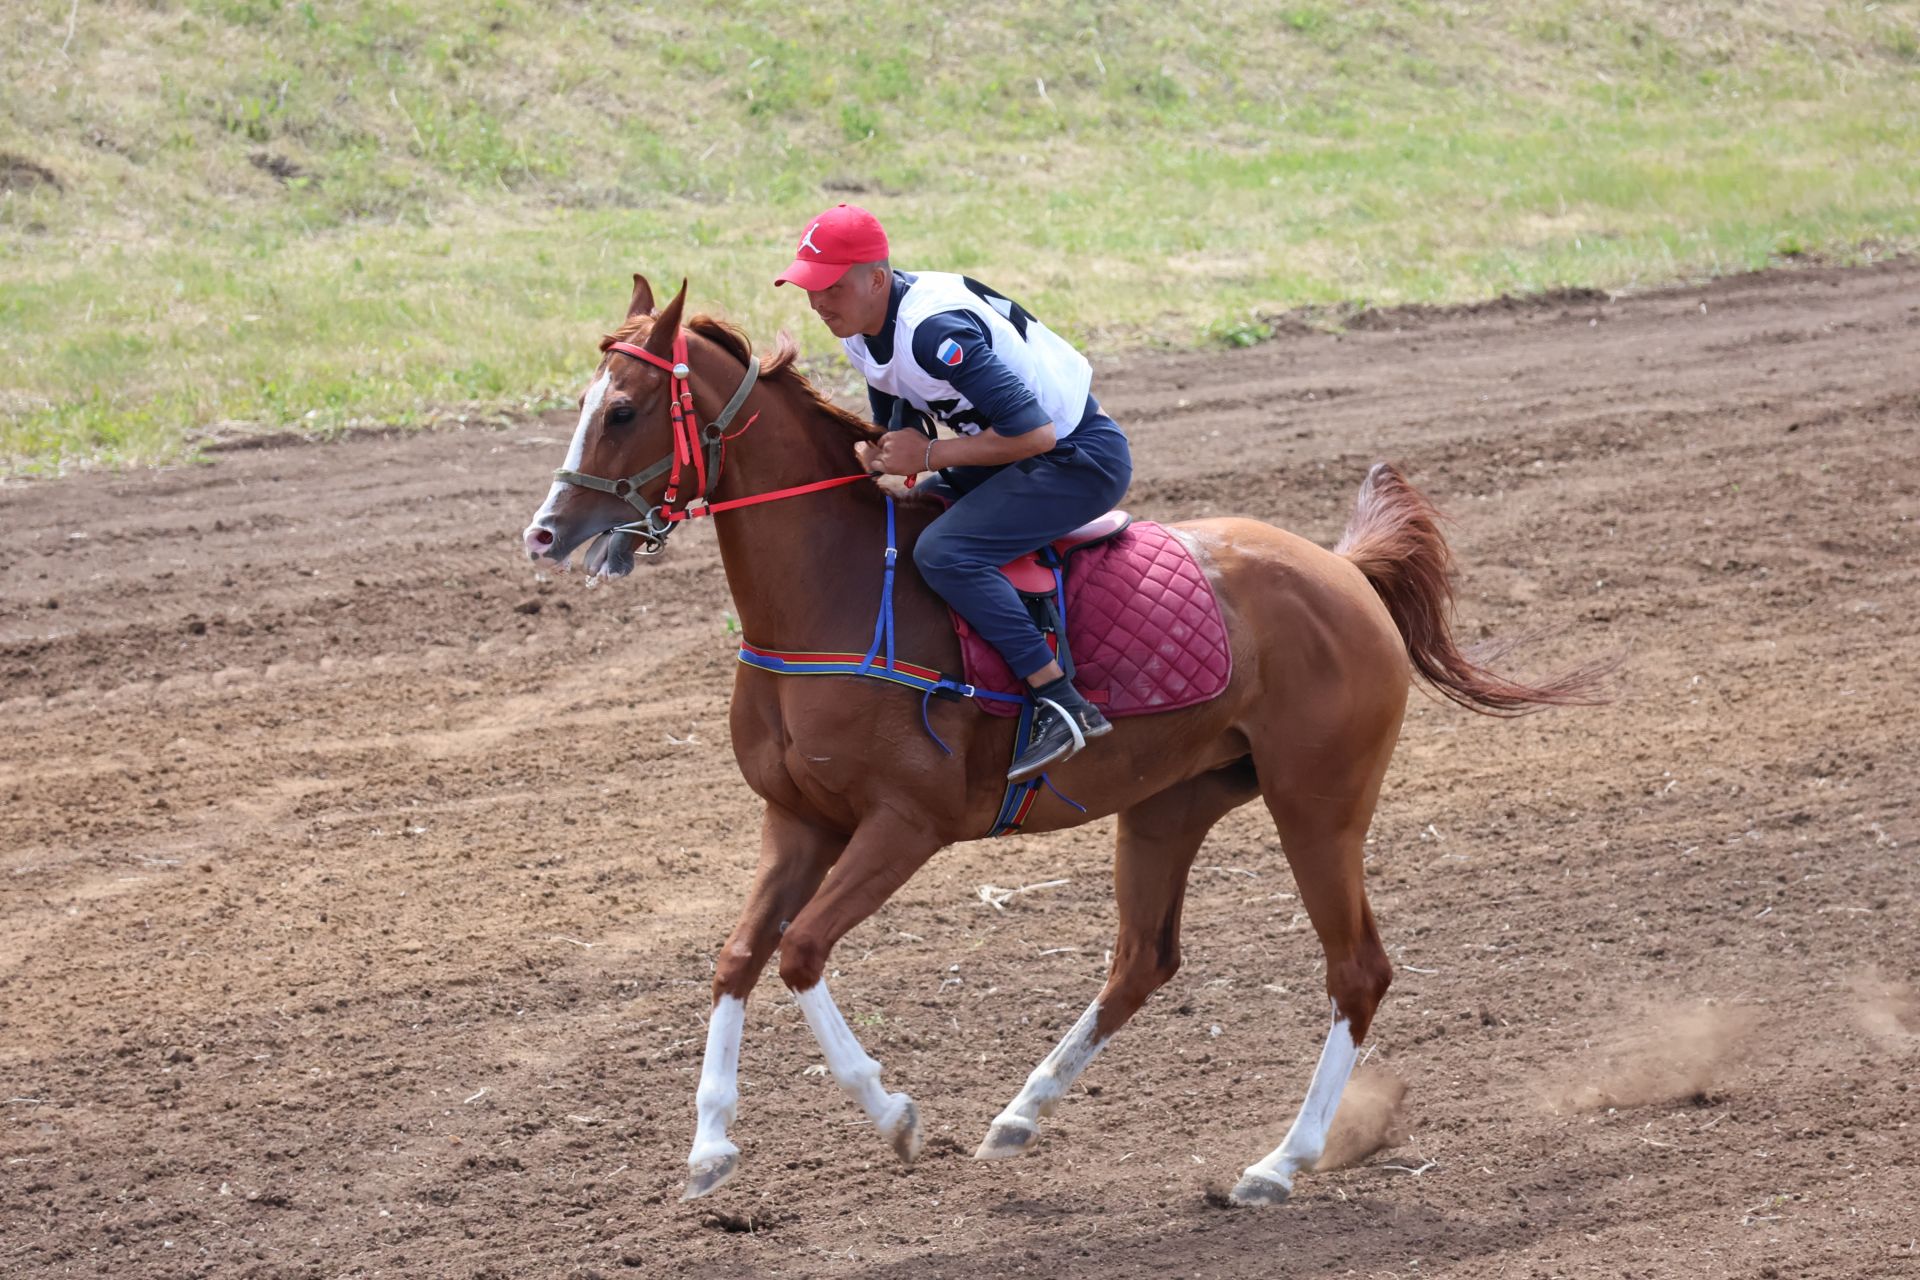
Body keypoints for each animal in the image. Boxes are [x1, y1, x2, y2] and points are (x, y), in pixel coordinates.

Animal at [518, 280, 1597, 1212]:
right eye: (584, 402)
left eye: (622, 409)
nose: (544, 531)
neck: (838, 593)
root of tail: (1343, 569)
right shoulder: (797, 818)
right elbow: (740, 953)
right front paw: (708, 1145)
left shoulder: (905, 824)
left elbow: (802, 949)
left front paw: (893, 1113)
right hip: (1170, 804)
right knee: (1142, 960)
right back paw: (1020, 1113)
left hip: (1319, 804)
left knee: (1357, 970)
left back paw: (1279, 1162)